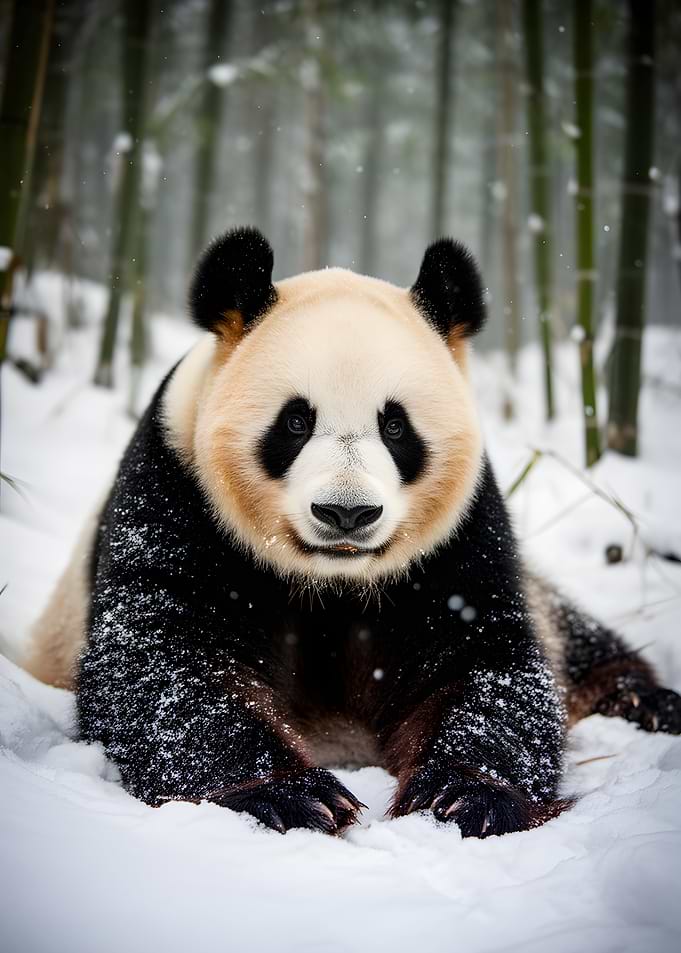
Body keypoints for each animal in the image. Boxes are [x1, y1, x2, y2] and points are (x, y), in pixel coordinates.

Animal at [26, 226, 681, 838]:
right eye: (295, 422)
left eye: (396, 427)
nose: (346, 513)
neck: (330, 580)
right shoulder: (175, 489)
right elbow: (160, 658)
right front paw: (291, 796)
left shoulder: (460, 535)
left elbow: (487, 658)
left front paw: (464, 798)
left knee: (572, 632)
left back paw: (645, 701)